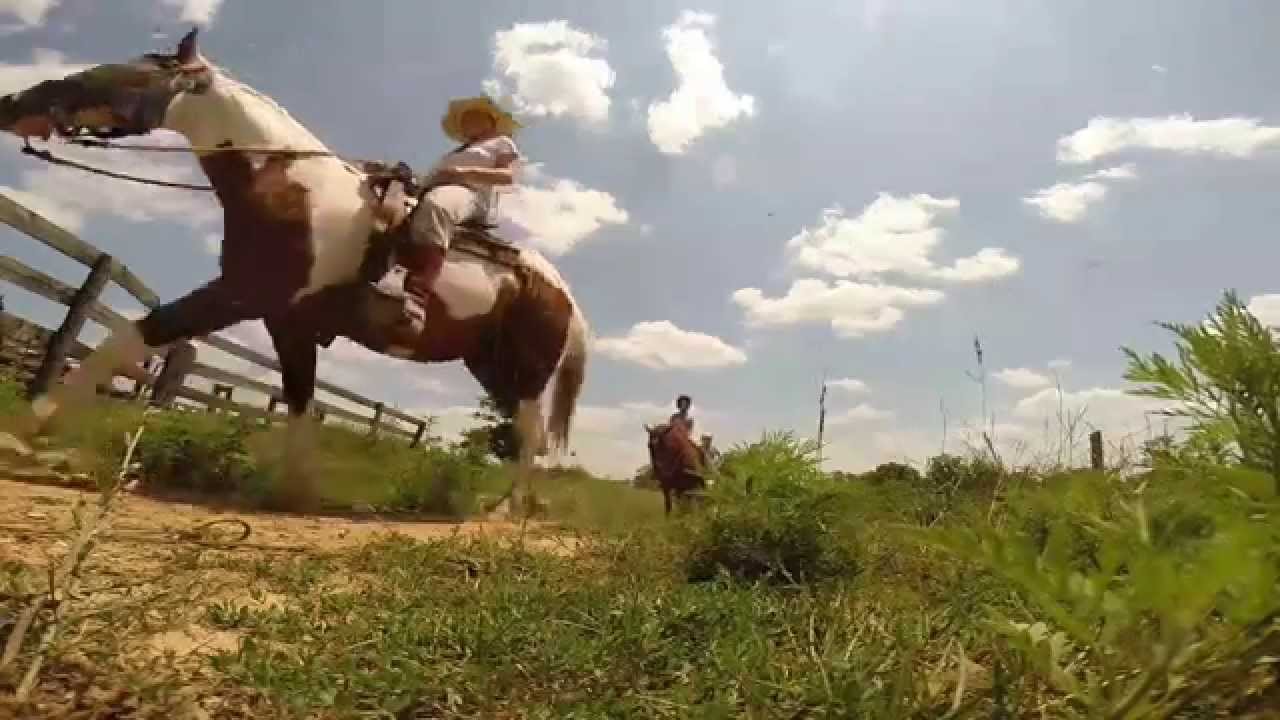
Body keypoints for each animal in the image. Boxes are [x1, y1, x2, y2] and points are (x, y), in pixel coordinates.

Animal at [0, 28, 588, 512]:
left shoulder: (239, 295)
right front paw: (296, 491)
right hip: (490, 368)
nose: (14, 103)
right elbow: (299, 401)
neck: (293, 189)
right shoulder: (288, 322)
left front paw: (25, 429)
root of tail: (564, 294)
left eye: (123, 71)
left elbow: (131, 336)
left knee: (531, 436)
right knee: (524, 432)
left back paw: (503, 512)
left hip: (526, 371)